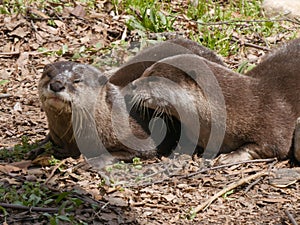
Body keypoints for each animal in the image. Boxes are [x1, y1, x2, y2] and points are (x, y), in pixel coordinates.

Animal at [126, 37, 300, 163]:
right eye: (145, 71)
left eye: (153, 77)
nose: (132, 85)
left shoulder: (274, 121)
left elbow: (272, 147)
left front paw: (229, 157)